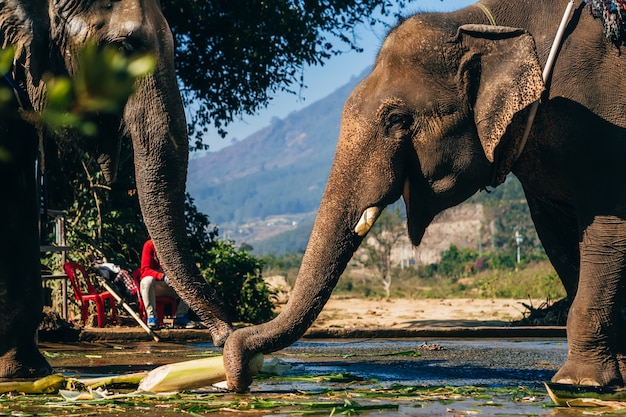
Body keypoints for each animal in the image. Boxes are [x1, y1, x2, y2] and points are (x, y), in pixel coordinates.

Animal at [221, 0, 626, 390]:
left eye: (397, 120)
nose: (239, 373)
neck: (481, 23)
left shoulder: (603, 121)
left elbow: (607, 229)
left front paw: (579, 383)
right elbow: (558, 239)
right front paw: (611, 377)